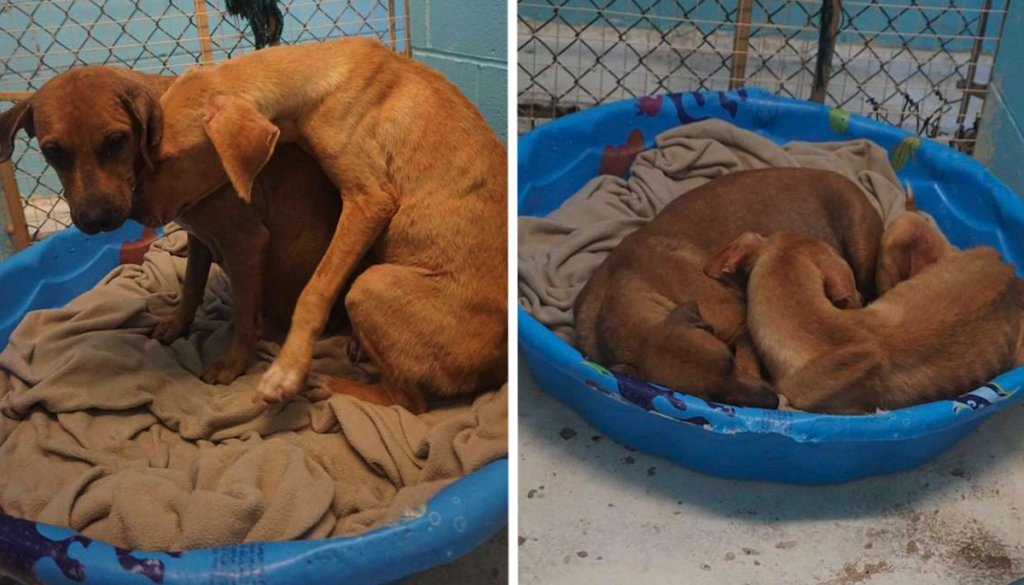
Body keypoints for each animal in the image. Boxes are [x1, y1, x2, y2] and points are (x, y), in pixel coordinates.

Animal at [0, 66, 348, 387]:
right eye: (53, 151)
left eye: (115, 141)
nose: (95, 219)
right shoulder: (199, 239)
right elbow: (191, 287)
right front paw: (178, 325)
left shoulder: (246, 243)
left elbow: (243, 317)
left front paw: (232, 364)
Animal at [132, 37, 507, 411]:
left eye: (167, 158)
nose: (133, 211)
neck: (318, 76)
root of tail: (493, 374)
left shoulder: (369, 201)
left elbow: (315, 290)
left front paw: (288, 368)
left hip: (371, 285)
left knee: (408, 403)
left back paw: (331, 384)